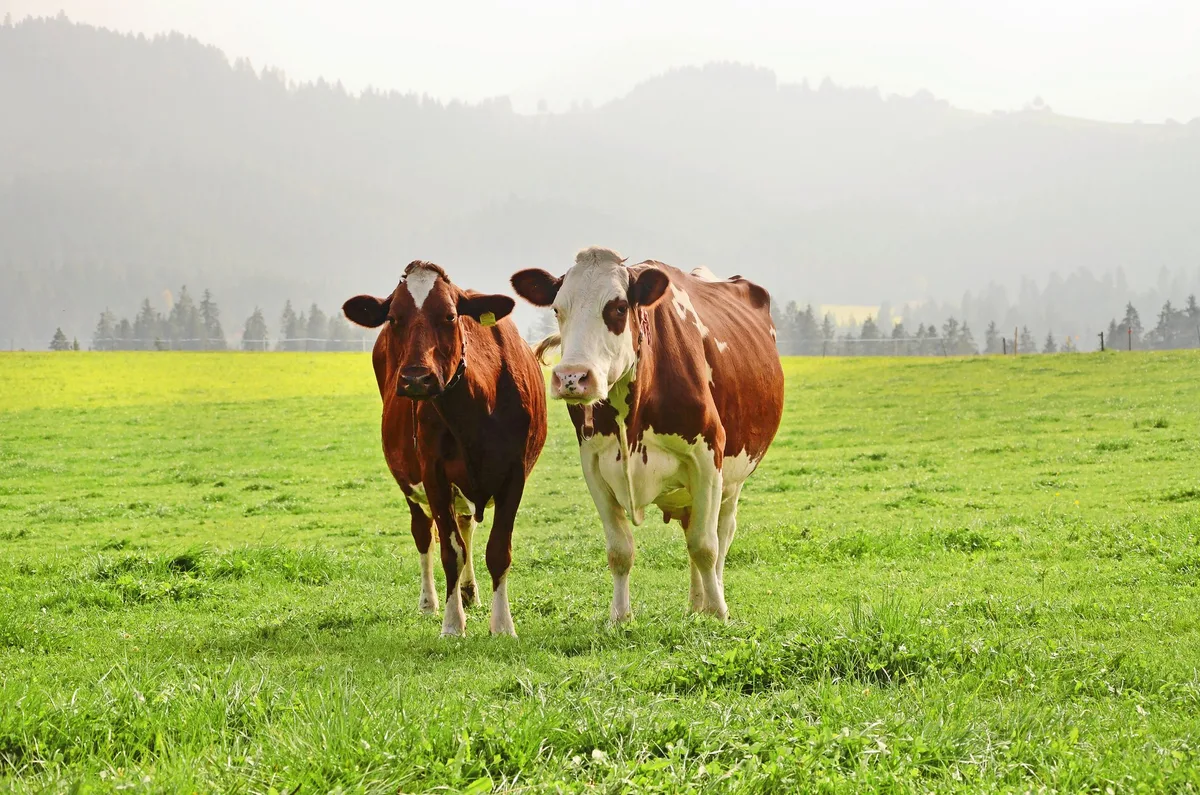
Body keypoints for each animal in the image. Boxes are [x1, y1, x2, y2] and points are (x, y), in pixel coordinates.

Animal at [343, 261, 547, 637]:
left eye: (451, 316)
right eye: (393, 317)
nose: (415, 378)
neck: (475, 410)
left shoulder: (515, 473)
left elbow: (498, 550)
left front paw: (502, 625)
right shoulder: (433, 474)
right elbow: (450, 552)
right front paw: (453, 624)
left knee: (466, 526)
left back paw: (469, 592)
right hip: (411, 482)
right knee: (425, 534)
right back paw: (430, 602)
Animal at [511, 246, 783, 623]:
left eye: (618, 307)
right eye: (557, 308)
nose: (571, 377)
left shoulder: (707, 459)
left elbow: (706, 546)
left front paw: (719, 613)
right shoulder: (593, 464)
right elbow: (620, 549)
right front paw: (620, 617)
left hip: (734, 478)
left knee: (721, 534)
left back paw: (710, 600)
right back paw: (695, 604)